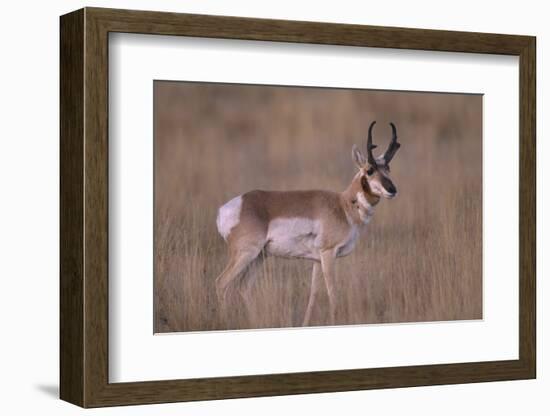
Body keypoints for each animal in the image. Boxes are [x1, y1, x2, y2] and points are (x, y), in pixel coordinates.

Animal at [216, 120, 402, 324]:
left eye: (388, 169)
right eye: (370, 170)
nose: (392, 190)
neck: (343, 205)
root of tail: (227, 209)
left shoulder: (316, 260)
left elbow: (313, 294)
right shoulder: (328, 254)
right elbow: (332, 293)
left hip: (259, 257)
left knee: (244, 288)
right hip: (246, 254)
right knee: (221, 283)